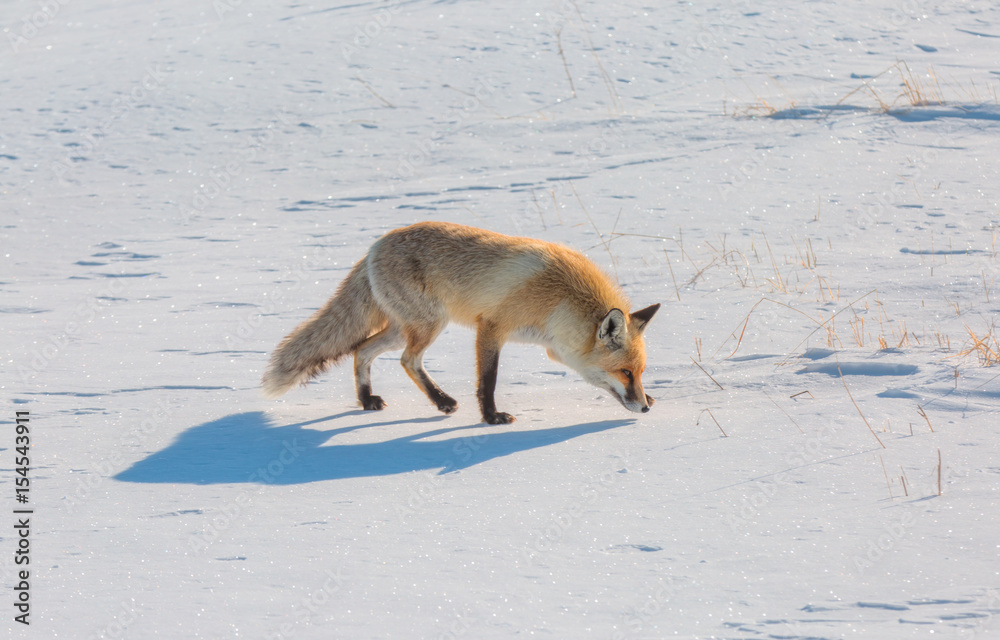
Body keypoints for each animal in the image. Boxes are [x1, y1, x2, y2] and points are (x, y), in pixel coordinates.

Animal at [261, 221, 660, 424]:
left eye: (639, 372)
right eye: (625, 372)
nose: (644, 407)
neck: (559, 298)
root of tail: (374, 246)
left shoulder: (551, 345)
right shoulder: (492, 327)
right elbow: (488, 380)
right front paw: (491, 417)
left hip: (401, 329)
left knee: (361, 349)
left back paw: (366, 400)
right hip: (429, 325)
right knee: (408, 360)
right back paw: (441, 402)